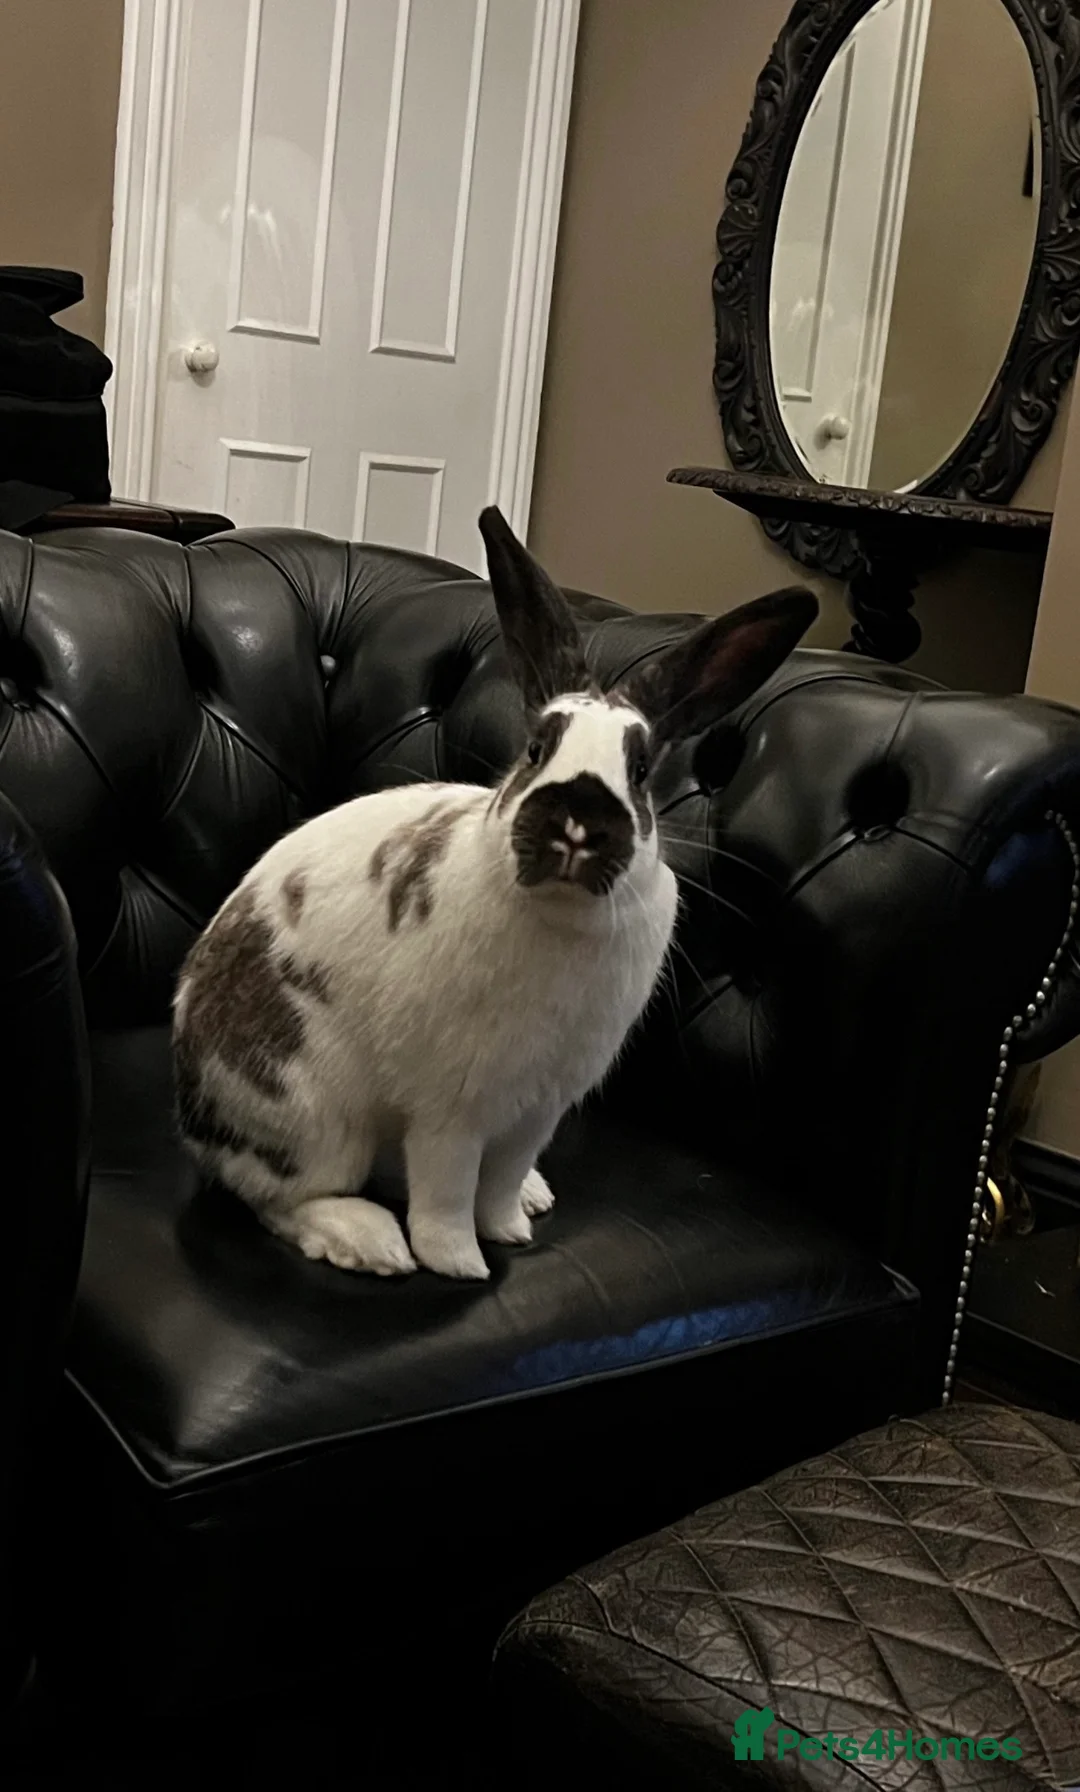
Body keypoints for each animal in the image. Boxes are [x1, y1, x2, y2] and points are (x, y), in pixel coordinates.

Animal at [172, 507, 816, 1279]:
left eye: (639, 770)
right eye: (537, 748)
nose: (577, 821)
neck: (559, 917)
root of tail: (194, 1114)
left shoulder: (539, 1106)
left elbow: (500, 1180)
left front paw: (508, 1228)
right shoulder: (453, 1107)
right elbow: (448, 1190)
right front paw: (457, 1261)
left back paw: (530, 1197)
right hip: (313, 1115)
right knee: (277, 1197)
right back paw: (372, 1241)